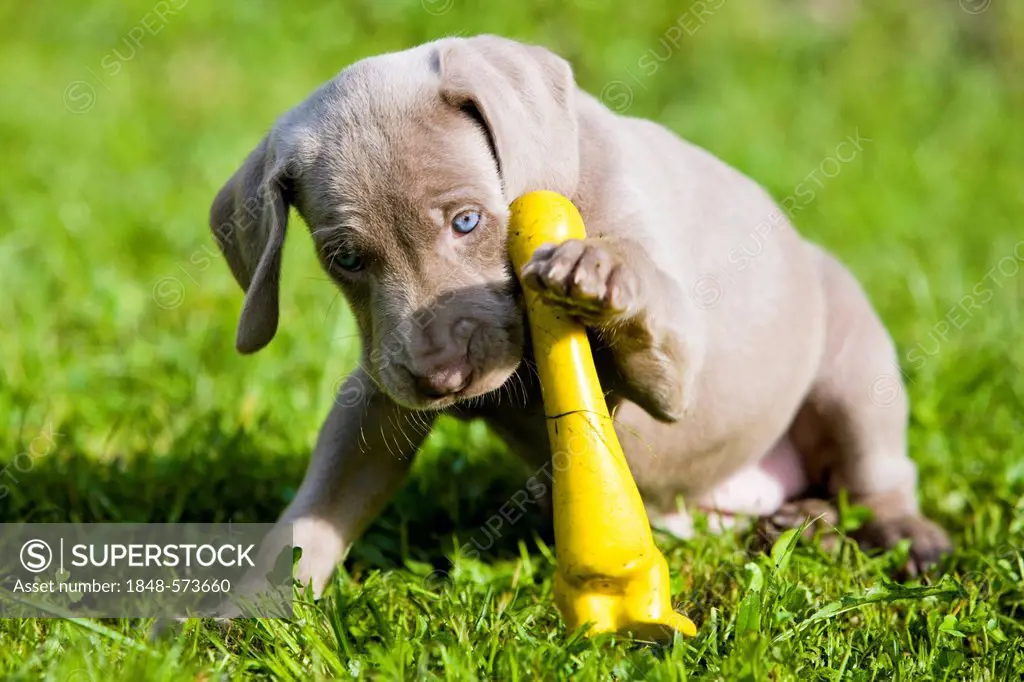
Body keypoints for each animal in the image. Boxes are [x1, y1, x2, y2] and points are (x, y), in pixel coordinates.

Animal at [209, 34, 950, 593]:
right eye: (347, 259)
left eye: (467, 220)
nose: (441, 378)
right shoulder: (380, 389)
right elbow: (318, 507)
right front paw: (250, 614)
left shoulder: (678, 365)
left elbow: (646, 315)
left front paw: (599, 270)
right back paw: (801, 525)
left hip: (855, 366)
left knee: (880, 476)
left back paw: (894, 537)